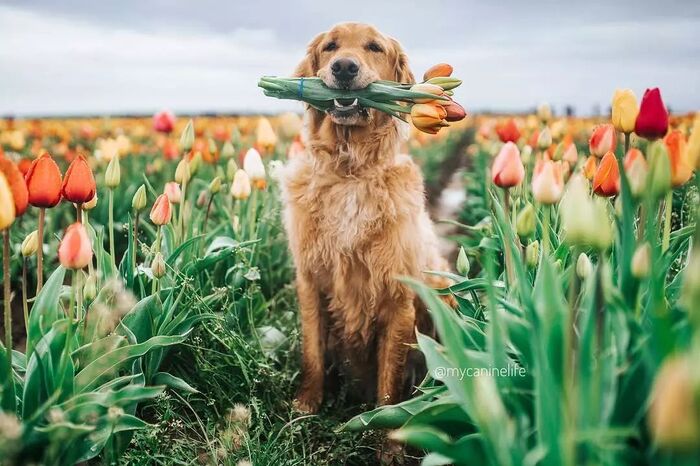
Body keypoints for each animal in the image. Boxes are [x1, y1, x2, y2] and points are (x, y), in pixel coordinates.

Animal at [282, 21, 452, 416]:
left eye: (374, 47)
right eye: (330, 47)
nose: (344, 67)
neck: (350, 171)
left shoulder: (399, 296)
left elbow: (390, 380)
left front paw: (386, 429)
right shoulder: (310, 281)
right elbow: (312, 354)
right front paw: (306, 405)